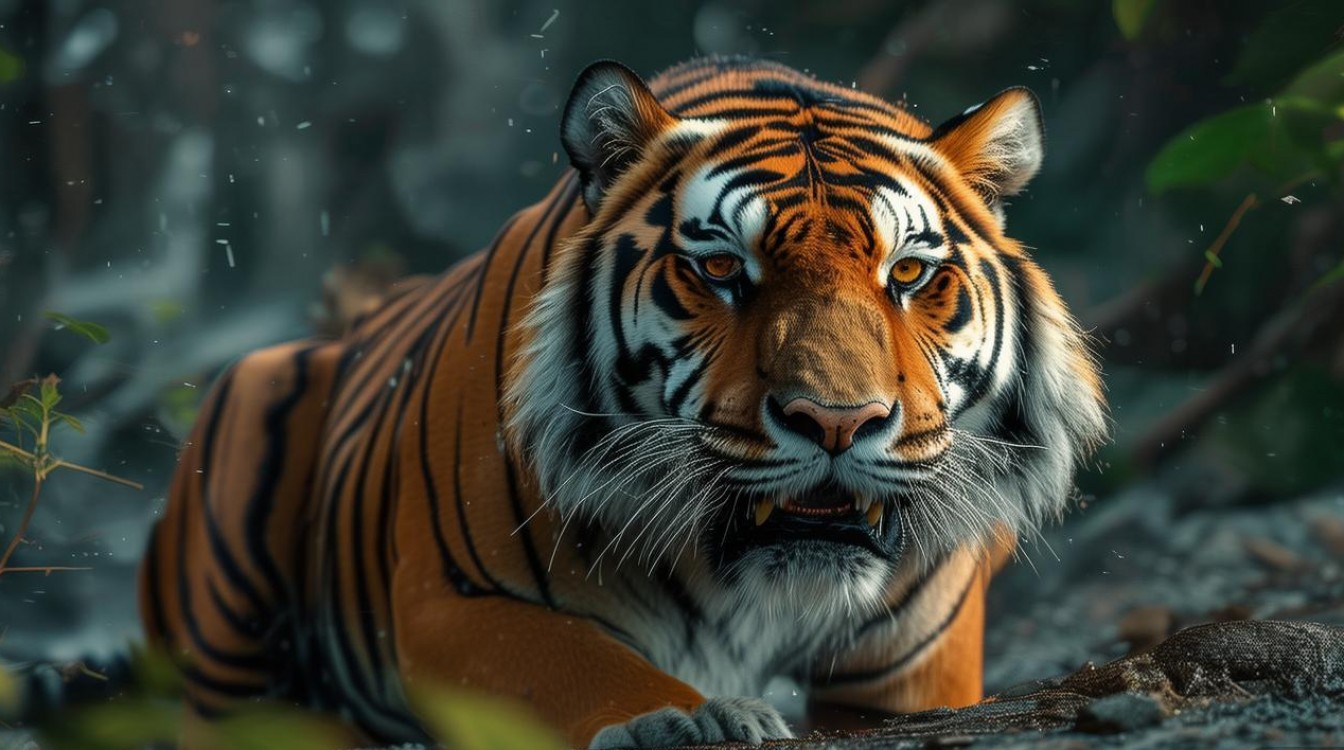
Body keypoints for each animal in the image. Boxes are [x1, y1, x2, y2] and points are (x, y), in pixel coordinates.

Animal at [138, 56, 1107, 749]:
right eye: (719, 268)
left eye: (907, 274)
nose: (837, 421)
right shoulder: (446, 597)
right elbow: (572, 663)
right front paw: (684, 718)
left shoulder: (914, 669)